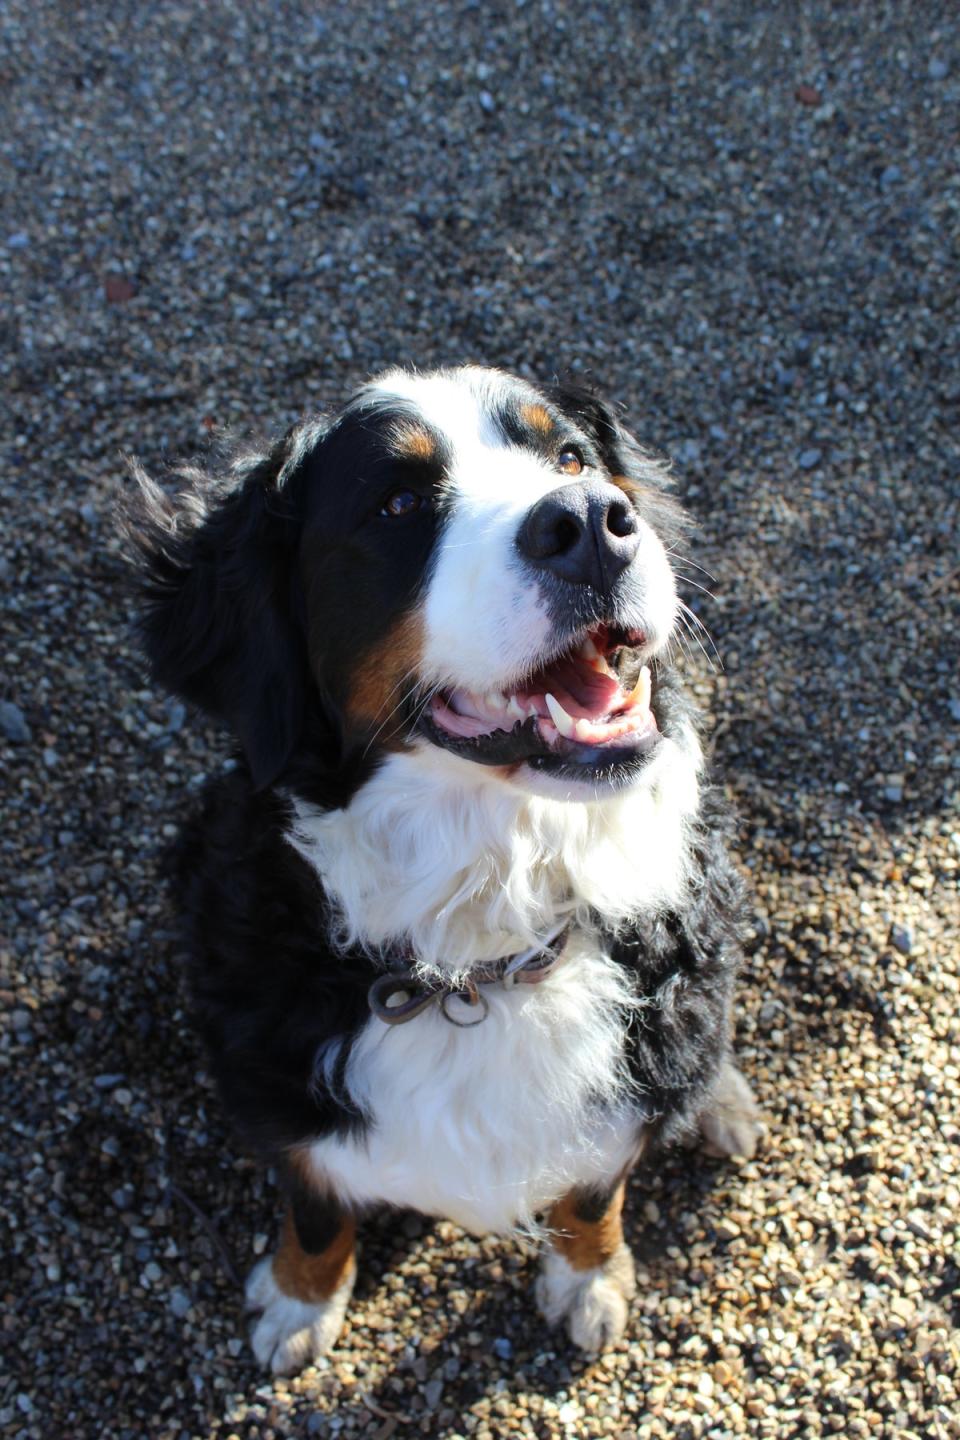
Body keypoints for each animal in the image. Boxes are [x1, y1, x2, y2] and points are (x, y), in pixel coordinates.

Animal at [123, 362, 759, 1370]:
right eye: (398, 503)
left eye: (570, 457)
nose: (593, 520)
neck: (476, 955)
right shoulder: (286, 1096)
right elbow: (314, 1203)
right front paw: (300, 1300)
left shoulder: (623, 1095)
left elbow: (595, 1190)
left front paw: (590, 1279)